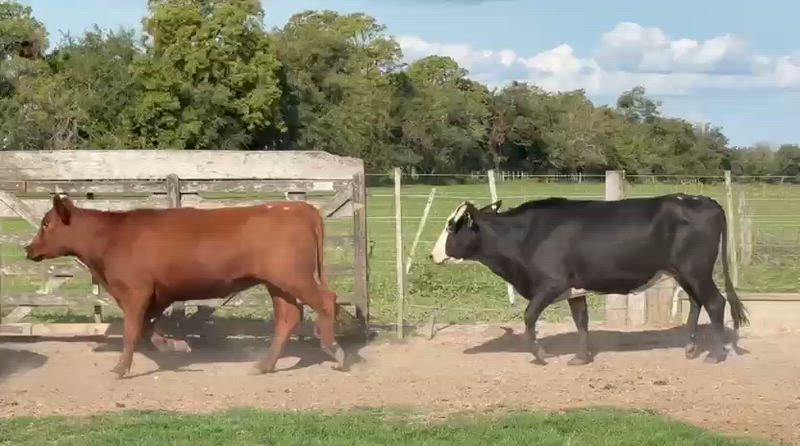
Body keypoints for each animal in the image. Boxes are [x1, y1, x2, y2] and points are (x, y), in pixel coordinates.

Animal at [24, 194, 346, 378]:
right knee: (288, 317)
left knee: (326, 300)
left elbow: (132, 330)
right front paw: (176, 345)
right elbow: (146, 327)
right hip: (277, 284)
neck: (111, 237)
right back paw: (265, 365)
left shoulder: (135, 292)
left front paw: (120, 368)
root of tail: (295, 207)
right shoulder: (155, 294)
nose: (28, 248)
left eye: (46, 224)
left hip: (294, 277)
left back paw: (334, 350)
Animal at [430, 193, 749, 366]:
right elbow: (581, 321)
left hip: (696, 270)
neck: (527, 235)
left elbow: (529, 317)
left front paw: (540, 354)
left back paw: (715, 354)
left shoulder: (551, 284)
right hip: (683, 273)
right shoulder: (575, 287)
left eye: (452, 225)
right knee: (697, 302)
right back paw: (690, 348)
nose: (432, 255)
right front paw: (581, 357)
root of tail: (701, 198)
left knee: (715, 303)